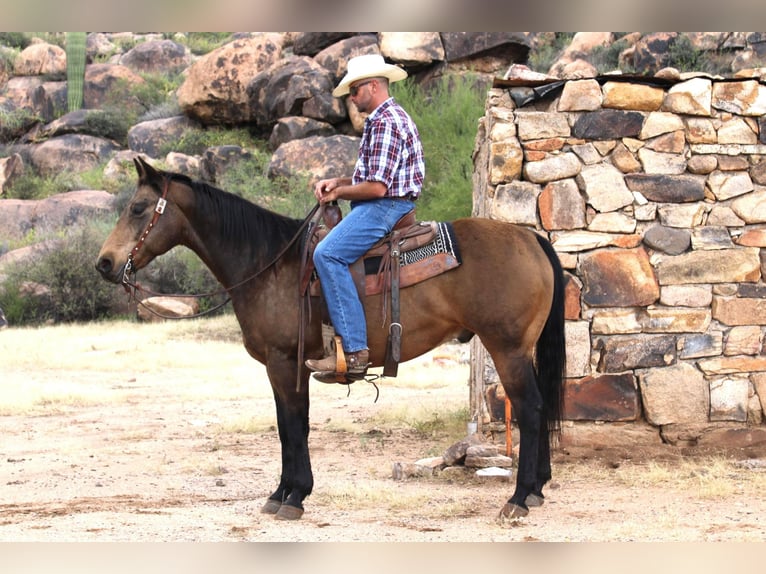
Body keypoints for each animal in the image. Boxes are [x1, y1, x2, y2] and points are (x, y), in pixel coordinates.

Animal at [96, 158, 568, 520]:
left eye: (138, 208)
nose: (105, 263)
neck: (270, 264)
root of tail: (530, 237)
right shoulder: (289, 367)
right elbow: (291, 426)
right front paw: (281, 493)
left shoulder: (283, 362)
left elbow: (292, 427)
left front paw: (293, 497)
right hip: (523, 350)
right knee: (541, 406)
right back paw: (537, 490)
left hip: (507, 350)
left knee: (530, 409)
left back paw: (518, 498)